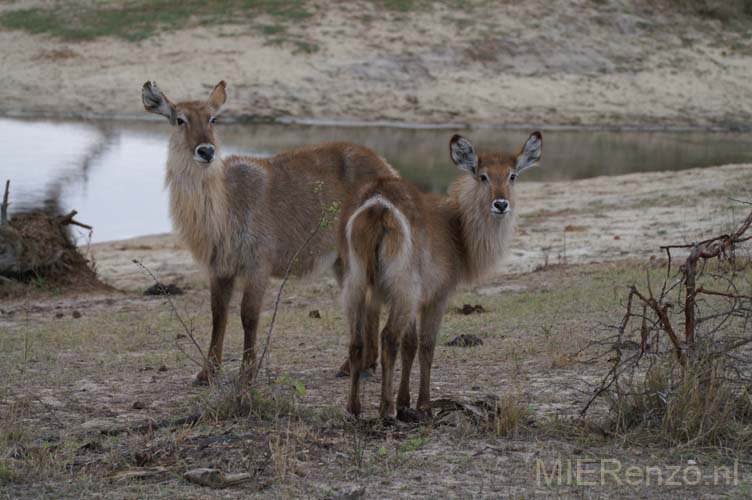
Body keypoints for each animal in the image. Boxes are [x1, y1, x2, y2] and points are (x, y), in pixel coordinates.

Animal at [143, 80, 396, 382]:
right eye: (180, 119)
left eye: (213, 119)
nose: (206, 151)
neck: (224, 204)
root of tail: (387, 167)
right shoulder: (219, 268)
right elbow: (218, 314)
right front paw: (207, 373)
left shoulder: (257, 264)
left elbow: (248, 316)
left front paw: (247, 373)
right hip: (342, 260)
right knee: (367, 301)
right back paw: (360, 365)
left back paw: (357, 364)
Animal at [340, 132, 540, 418]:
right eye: (483, 176)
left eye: (512, 175)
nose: (501, 204)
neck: (458, 228)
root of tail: (377, 203)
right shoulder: (438, 295)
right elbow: (426, 345)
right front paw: (422, 405)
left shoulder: (418, 298)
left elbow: (410, 344)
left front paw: (405, 402)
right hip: (403, 287)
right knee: (388, 337)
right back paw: (385, 410)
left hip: (355, 283)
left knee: (357, 342)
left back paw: (354, 408)